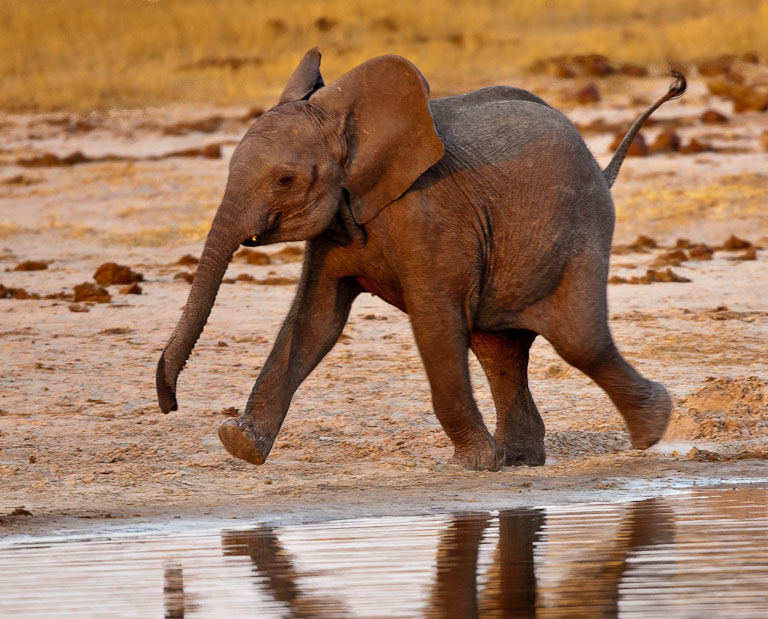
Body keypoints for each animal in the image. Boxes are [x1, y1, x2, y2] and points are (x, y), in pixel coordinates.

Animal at [156, 47, 686, 471]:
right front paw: (239, 444)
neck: (353, 125)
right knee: (500, 351)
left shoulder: (429, 215)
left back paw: (653, 426)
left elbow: (433, 323)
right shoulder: (337, 222)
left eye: (285, 180)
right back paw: (522, 459)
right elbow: (315, 321)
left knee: (578, 340)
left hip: (582, 229)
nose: (170, 405)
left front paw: (475, 464)